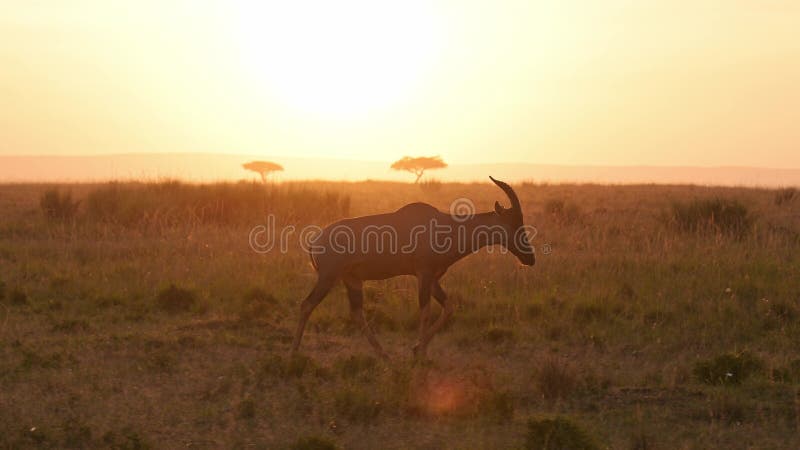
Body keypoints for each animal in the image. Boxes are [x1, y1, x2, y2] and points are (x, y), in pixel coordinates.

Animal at [290, 176, 536, 358]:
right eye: (514, 222)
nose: (530, 258)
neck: (444, 225)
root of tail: (315, 242)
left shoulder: (434, 278)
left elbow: (449, 307)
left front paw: (419, 349)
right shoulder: (423, 275)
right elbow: (425, 311)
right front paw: (419, 353)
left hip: (352, 280)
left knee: (356, 313)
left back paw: (385, 356)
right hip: (328, 278)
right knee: (306, 304)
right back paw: (294, 354)